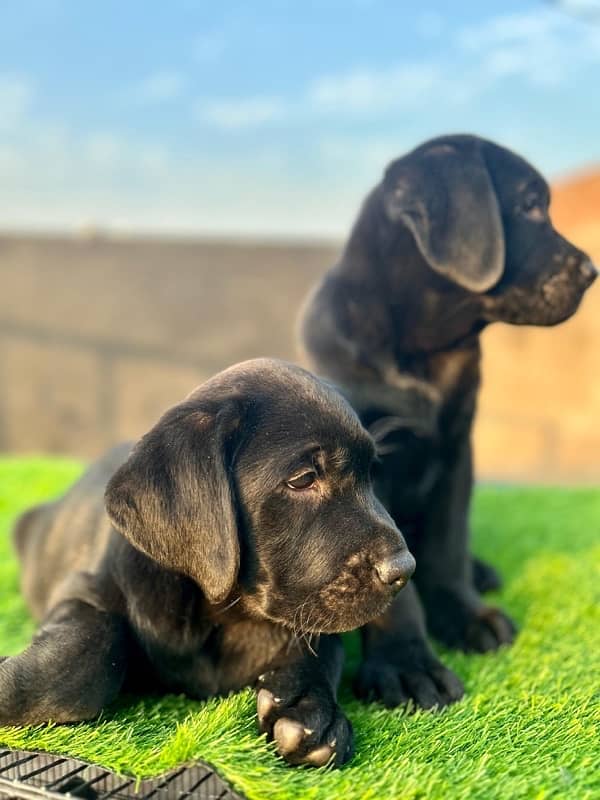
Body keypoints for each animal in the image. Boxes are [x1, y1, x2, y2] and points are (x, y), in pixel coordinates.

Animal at [0, 360, 418, 764]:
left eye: (371, 476)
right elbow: (92, 649)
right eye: (303, 479)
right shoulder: (85, 590)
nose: (404, 569)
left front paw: (309, 707)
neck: (220, 614)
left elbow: (323, 649)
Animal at [300, 134, 596, 708]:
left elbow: (446, 543)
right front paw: (408, 664)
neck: (424, 353)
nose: (591, 271)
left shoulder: (458, 450)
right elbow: (394, 583)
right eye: (531, 205)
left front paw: (465, 615)